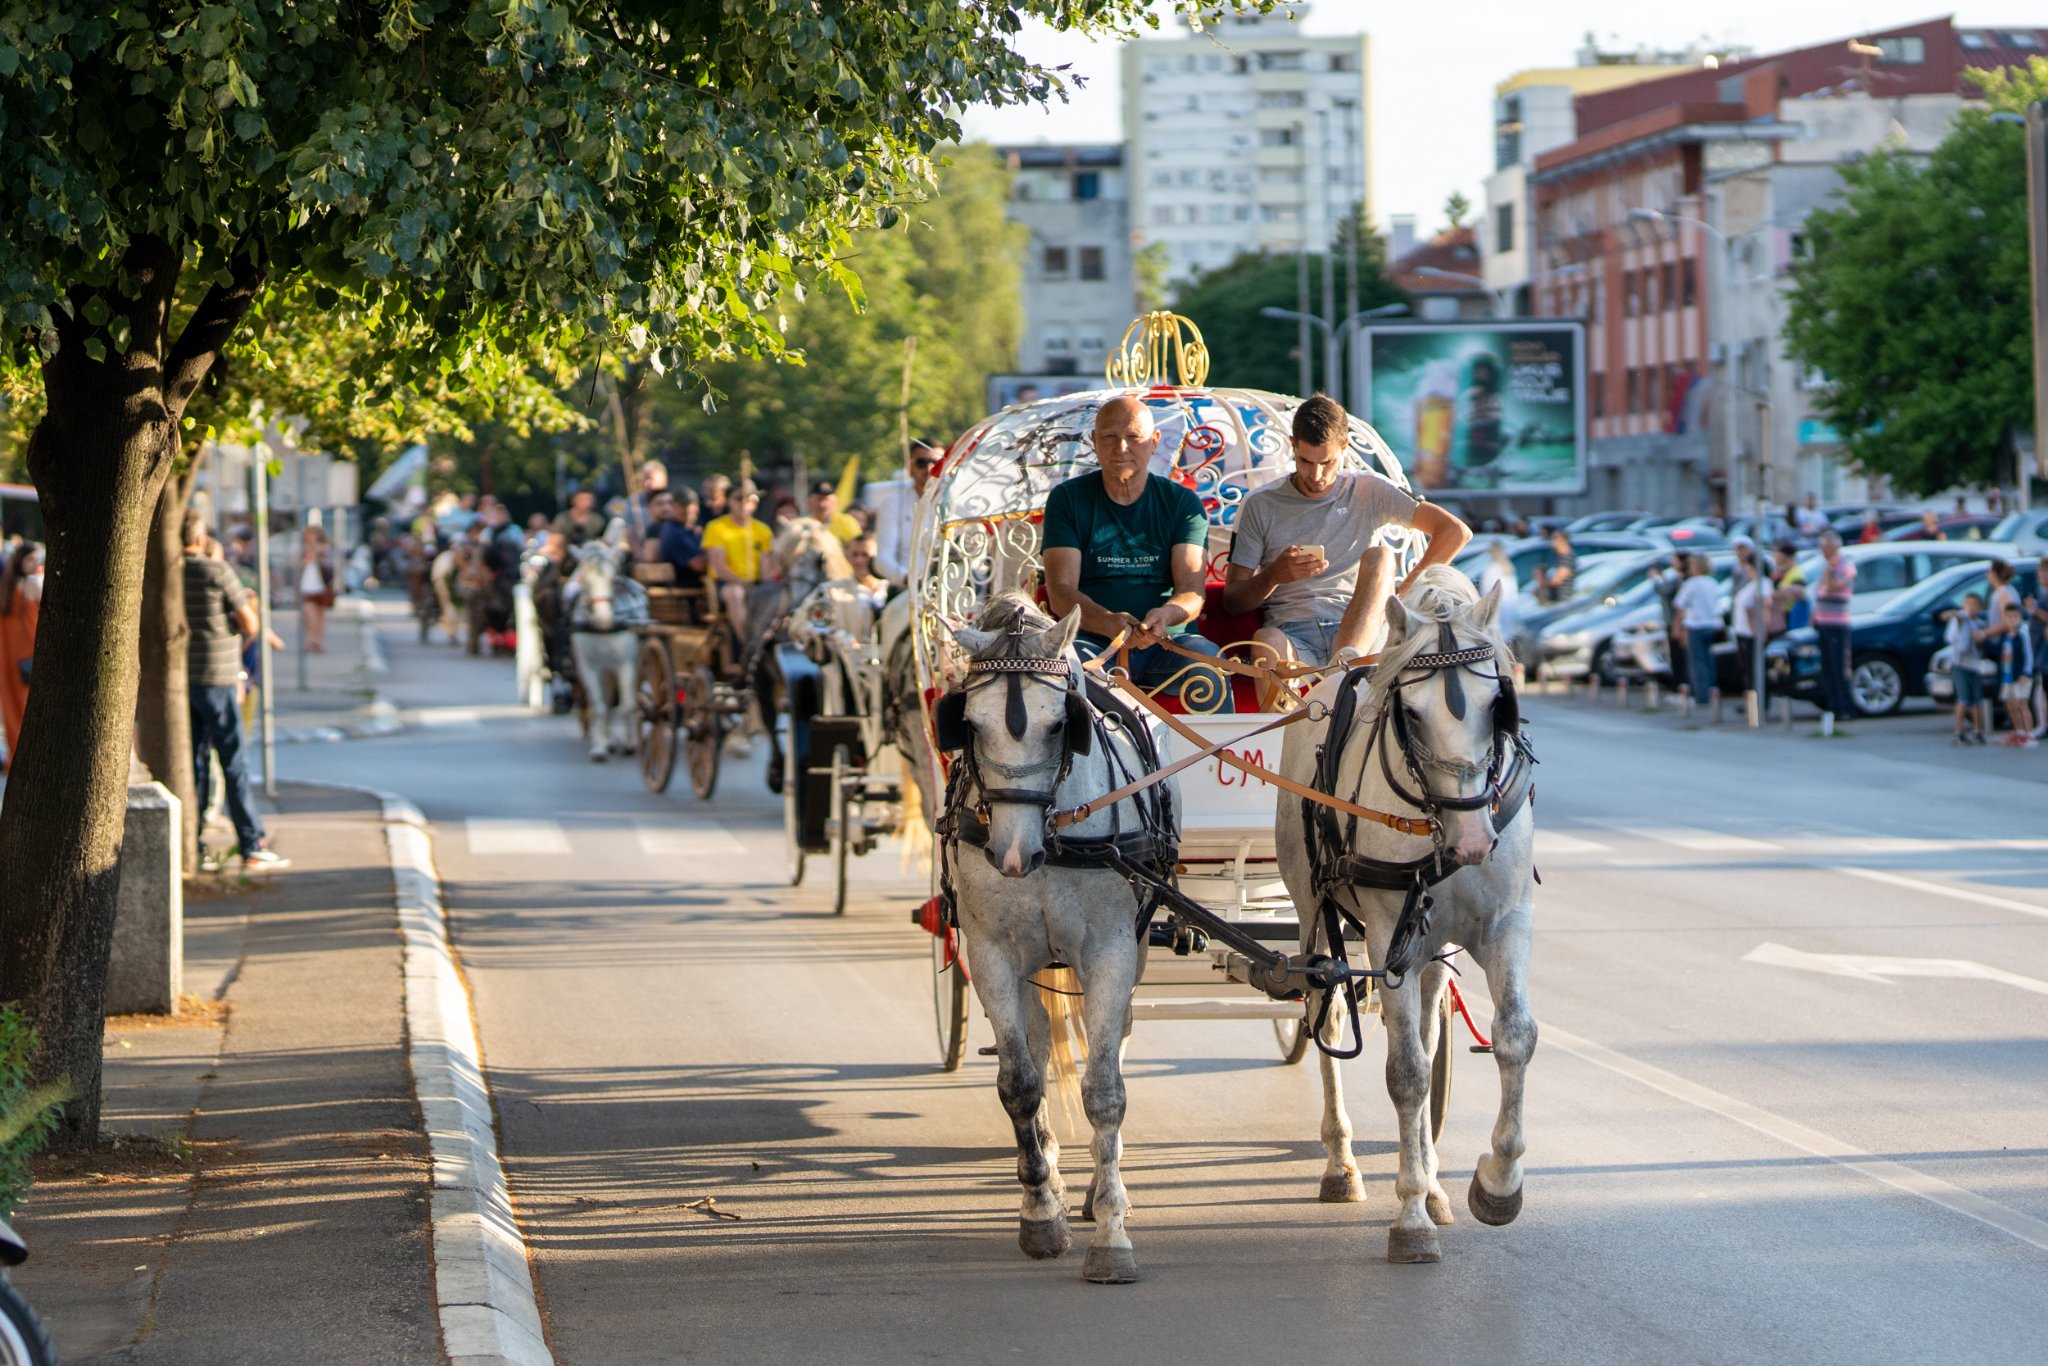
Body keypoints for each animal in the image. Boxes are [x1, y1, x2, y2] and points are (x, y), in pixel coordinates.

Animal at [569, 540, 647, 757]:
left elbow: (627, 705)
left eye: (612, 580)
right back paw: (608, 739)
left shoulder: (625, 664)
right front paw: (600, 748)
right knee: (607, 700)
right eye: (584, 580)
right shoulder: (589, 667)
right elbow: (599, 707)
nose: (604, 619)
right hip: (604, 669)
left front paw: (630, 744)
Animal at [937, 593, 1179, 1286]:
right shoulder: (990, 954)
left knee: (1111, 1043)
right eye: (968, 724)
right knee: (1038, 1044)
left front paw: (1112, 1234)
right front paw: (1042, 1213)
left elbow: (1105, 1091)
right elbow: (1019, 1083)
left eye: (1057, 725)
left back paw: (1098, 1188)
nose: (1013, 858)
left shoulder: (1111, 953)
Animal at [1269, 565, 1540, 1261]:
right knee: (1326, 1013)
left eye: (1498, 703)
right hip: (1317, 916)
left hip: (1431, 948)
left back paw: (1434, 1181)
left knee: (1427, 1020)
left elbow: (1513, 1038)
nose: (1472, 842)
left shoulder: (1505, 924)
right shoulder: (1389, 938)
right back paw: (1342, 1165)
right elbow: (1407, 1073)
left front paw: (1496, 1184)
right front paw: (1411, 1216)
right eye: (1411, 715)